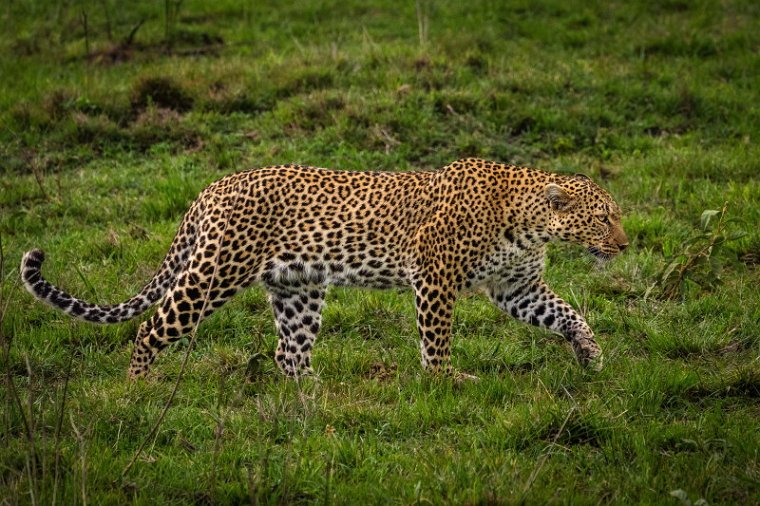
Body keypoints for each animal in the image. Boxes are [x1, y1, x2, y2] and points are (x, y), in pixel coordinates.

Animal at [22, 158, 628, 380]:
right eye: (603, 218)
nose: (625, 244)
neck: (529, 221)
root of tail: (213, 186)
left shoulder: (516, 287)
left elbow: (568, 314)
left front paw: (592, 356)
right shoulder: (434, 278)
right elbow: (437, 338)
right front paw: (446, 380)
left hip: (298, 288)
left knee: (288, 353)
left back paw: (316, 397)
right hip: (214, 273)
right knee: (151, 327)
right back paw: (139, 390)